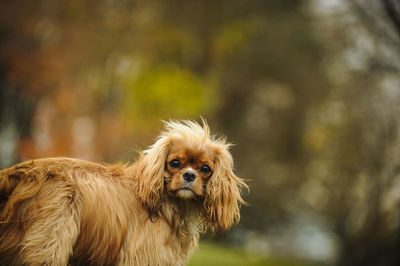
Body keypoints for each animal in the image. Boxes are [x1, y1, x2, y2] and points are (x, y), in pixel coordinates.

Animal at [0, 121, 247, 266]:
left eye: (205, 169)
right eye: (175, 163)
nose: (189, 175)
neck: (168, 204)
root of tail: (21, 172)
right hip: (49, 246)